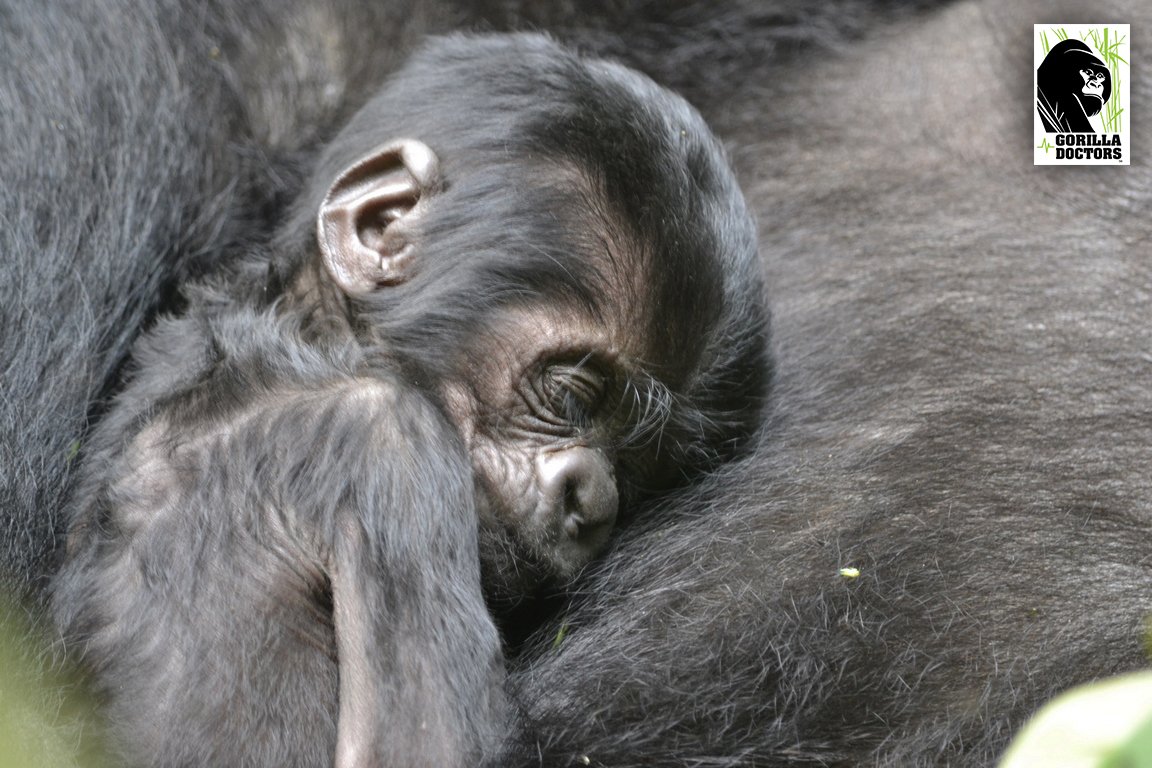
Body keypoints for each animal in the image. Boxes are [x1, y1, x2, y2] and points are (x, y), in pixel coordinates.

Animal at [48, 32, 770, 768]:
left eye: (640, 470)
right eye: (572, 393)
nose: (593, 499)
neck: (301, 339)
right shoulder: (392, 439)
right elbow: (417, 746)